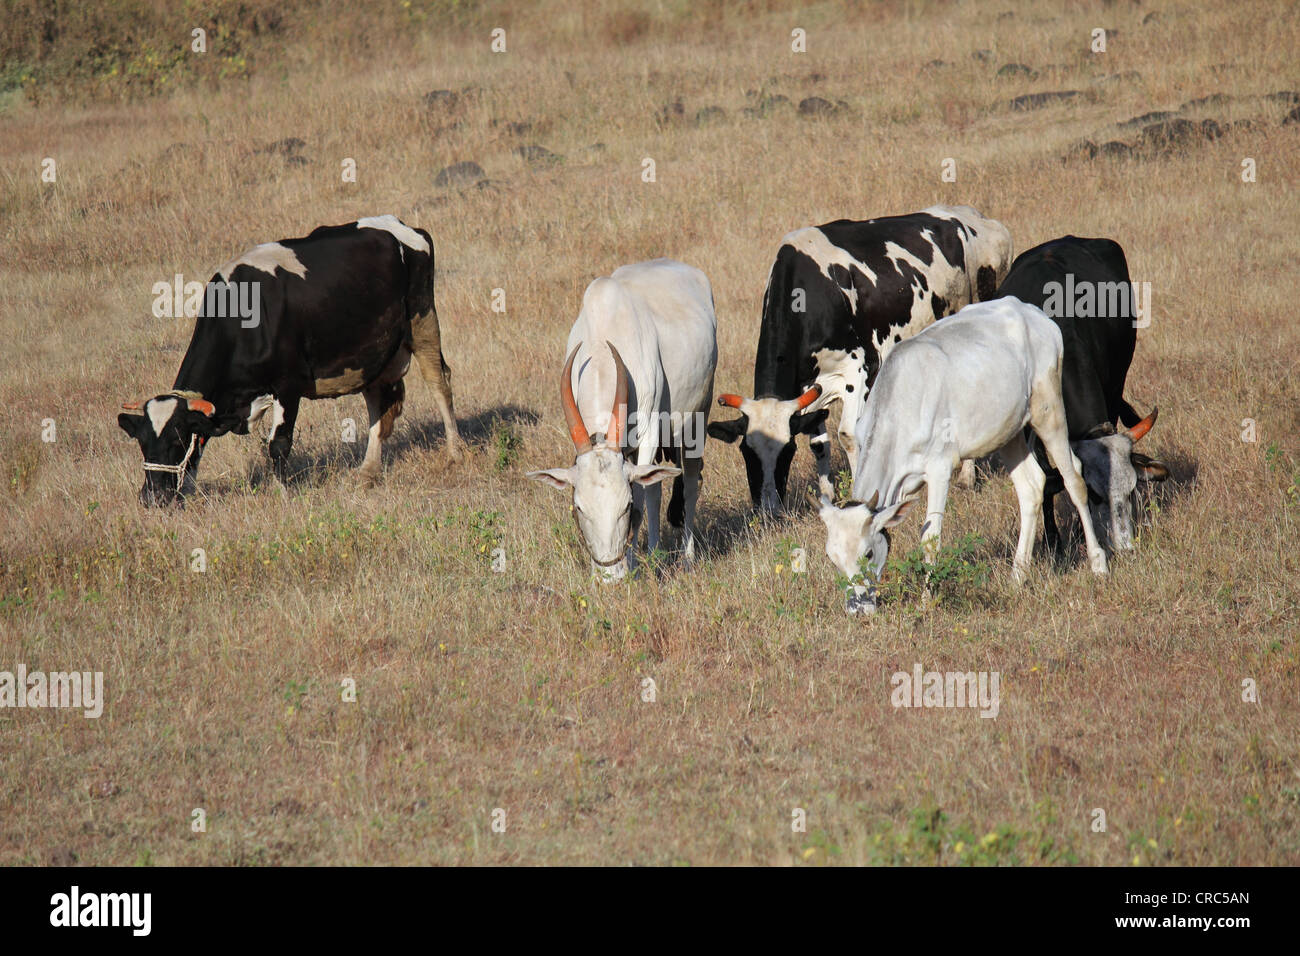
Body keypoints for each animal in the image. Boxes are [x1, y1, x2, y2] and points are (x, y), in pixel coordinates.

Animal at [116, 213, 462, 504]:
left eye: (176, 441)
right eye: (142, 443)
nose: (152, 497)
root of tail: (401, 225)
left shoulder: (288, 385)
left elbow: (278, 444)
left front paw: (283, 493)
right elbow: (203, 445)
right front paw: (187, 490)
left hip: (423, 319)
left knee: (439, 383)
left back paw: (454, 452)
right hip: (371, 354)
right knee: (379, 404)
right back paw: (367, 472)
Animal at [707, 204, 1008, 512]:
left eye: (788, 451)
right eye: (746, 451)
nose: (768, 508)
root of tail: (970, 215)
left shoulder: (861, 369)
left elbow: (849, 436)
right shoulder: (810, 387)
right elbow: (819, 442)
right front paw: (827, 495)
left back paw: (967, 478)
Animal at [821, 297, 1107, 613]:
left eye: (868, 554)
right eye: (832, 558)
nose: (857, 609)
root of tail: (1030, 311)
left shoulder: (940, 469)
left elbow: (930, 537)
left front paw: (927, 601)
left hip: (1048, 409)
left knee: (1075, 479)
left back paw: (1098, 563)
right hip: (1007, 431)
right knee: (1031, 486)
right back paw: (1018, 575)